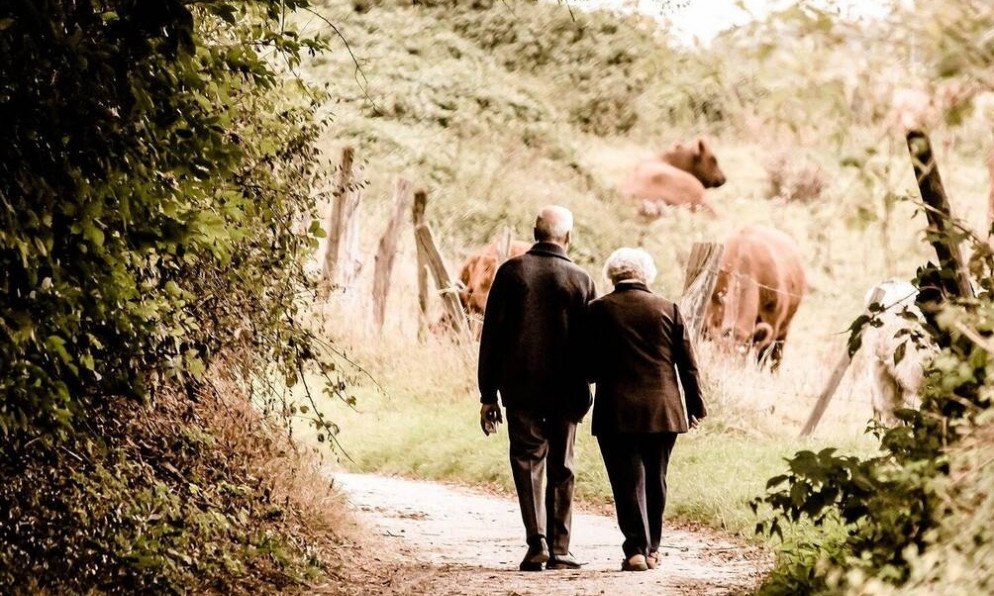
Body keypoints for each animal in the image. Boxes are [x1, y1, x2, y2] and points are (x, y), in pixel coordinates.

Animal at [704, 226, 808, 370]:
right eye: (718, 353)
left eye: (740, 357)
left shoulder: (772, 325)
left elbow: (761, 358)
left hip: (784, 330)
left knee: (776, 358)